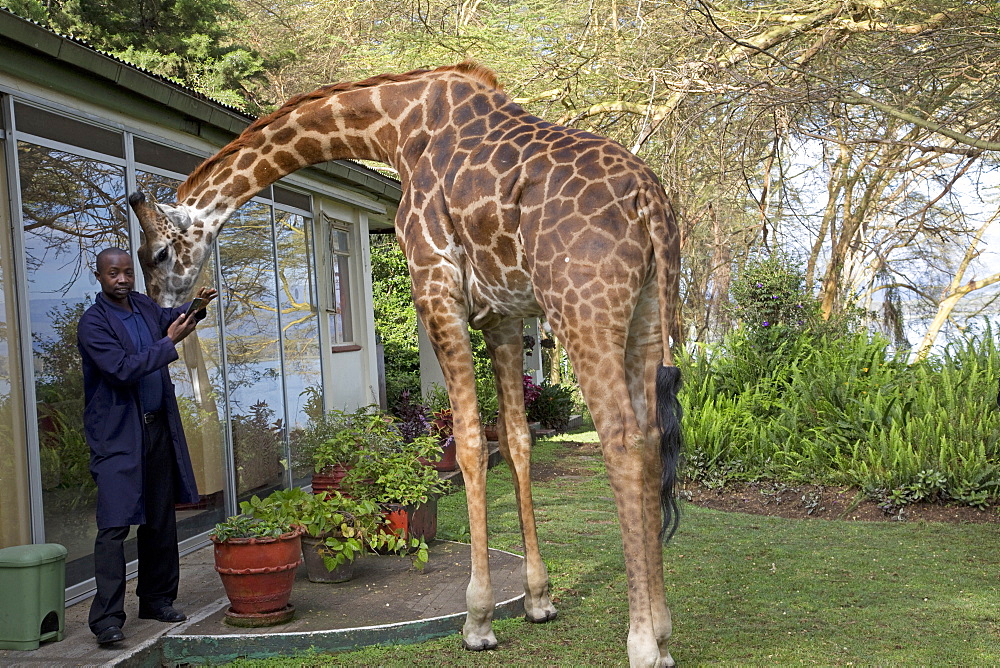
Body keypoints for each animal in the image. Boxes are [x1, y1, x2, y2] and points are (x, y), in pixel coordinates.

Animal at [129, 62, 684, 668]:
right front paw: (538, 600)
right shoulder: (504, 315)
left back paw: (641, 644)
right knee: (651, 439)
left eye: (157, 253)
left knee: (622, 441)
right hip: (648, 314)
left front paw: (477, 621)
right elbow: (515, 440)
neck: (398, 127)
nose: (163, 313)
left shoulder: (436, 289)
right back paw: (662, 633)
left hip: (584, 308)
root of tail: (651, 201)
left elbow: (469, 444)